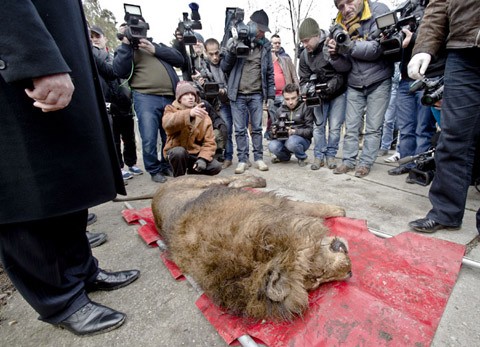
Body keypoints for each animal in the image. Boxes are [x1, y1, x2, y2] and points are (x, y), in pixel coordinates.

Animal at [150, 175, 352, 322]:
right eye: (317, 279)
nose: (349, 272)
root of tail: (157, 192)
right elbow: (306, 207)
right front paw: (338, 210)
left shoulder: (269, 202)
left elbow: (310, 207)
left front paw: (339, 210)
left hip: (204, 180)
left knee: (232, 179)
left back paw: (255, 180)